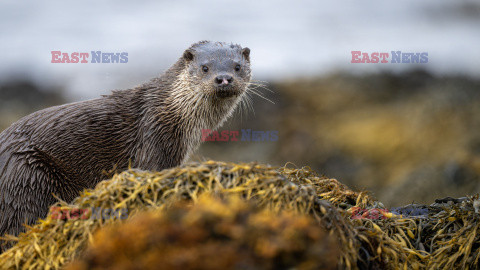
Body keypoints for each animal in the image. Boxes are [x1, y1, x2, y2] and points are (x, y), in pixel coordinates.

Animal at [0, 40, 253, 249]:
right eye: (205, 68)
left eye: (237, 67)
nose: (223, 78)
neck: (171, 111)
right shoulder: (153, 138)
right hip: (26, 177)